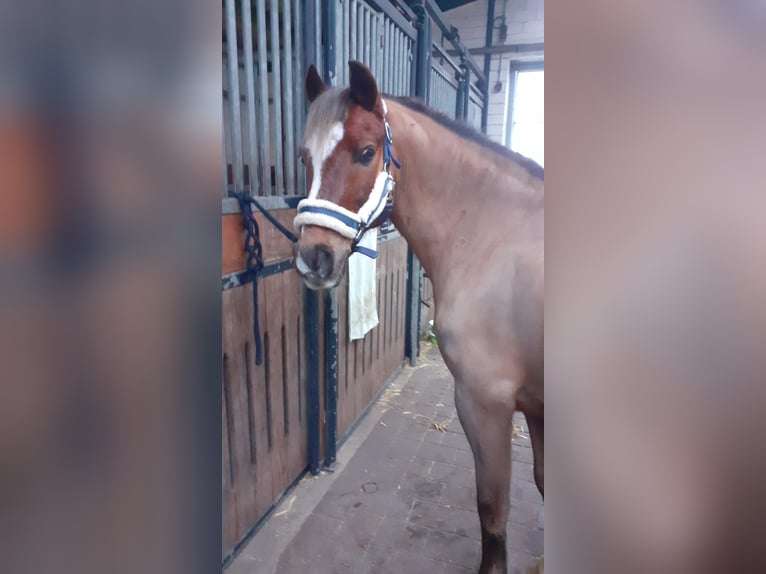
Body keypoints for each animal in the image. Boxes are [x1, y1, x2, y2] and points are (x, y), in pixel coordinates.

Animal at [293, 61, 544, 574]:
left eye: (366, 152)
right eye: (305, 156)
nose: (313, 260)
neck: (494, 238)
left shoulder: (485, 403)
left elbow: (493, 506)